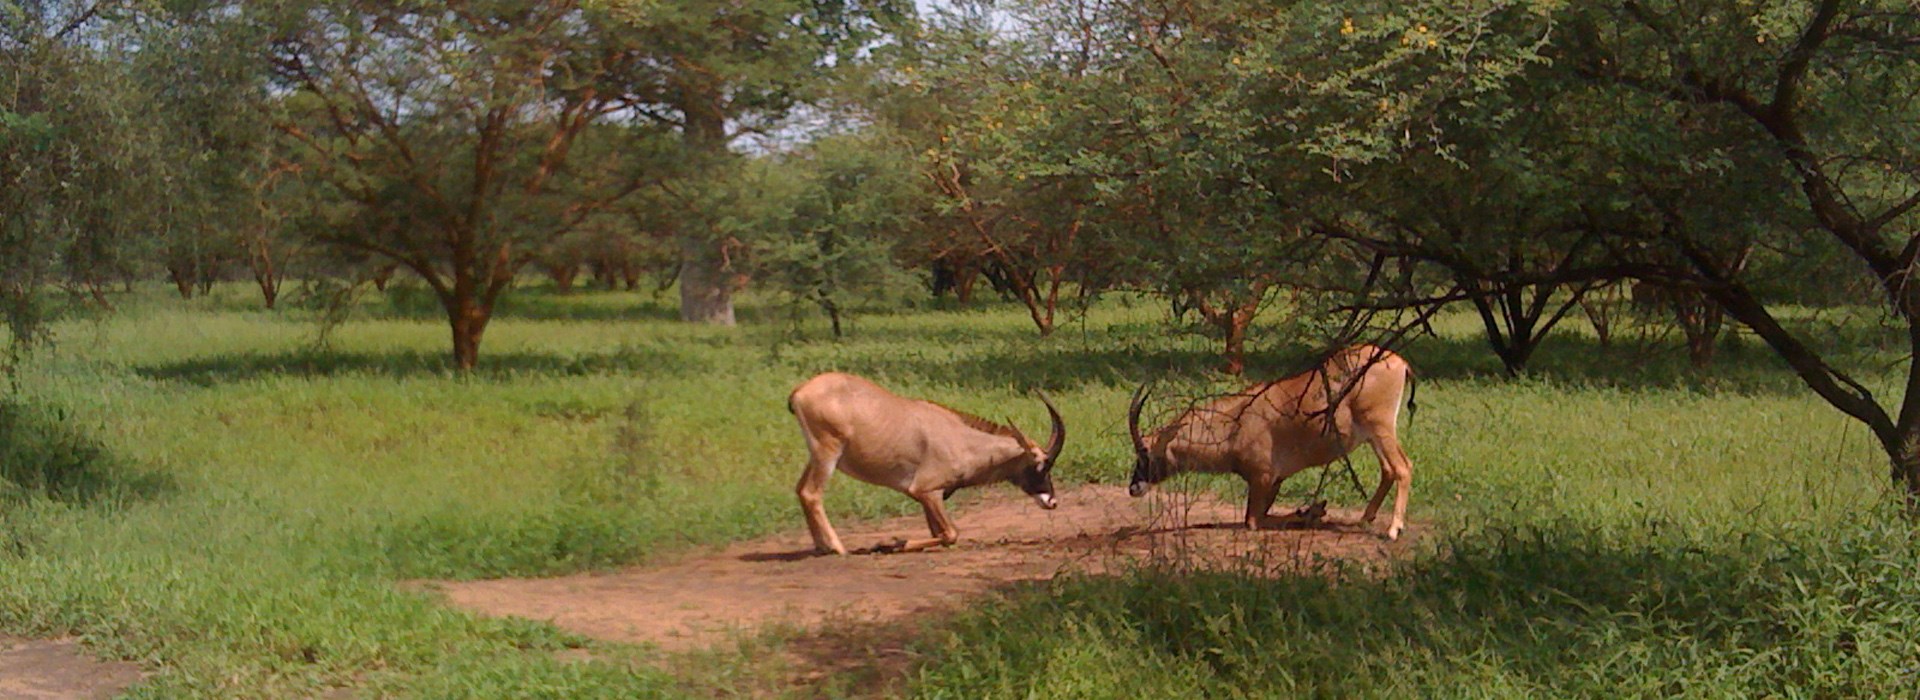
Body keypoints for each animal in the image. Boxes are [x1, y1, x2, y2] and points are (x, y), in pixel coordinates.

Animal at [791, 373, 1075, 552]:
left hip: (815, 455)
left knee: (801, 489)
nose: (1052, 501)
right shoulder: (928, 491)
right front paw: (889, 544)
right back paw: (838, 548)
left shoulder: (925, 498)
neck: (961, 439)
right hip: (827, 453)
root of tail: (798, 393)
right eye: (1040, 465)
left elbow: (938, 534)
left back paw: (822, 546)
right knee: (811, 492)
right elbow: (950, 534)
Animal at [1121, 345, 1420, 540]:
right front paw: (1312, 510)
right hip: (1373, 434)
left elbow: (1254, 520)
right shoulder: (1275, 481)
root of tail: (1399, 362)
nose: (1134, 487)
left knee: (1402, 467)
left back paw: (1394, 529)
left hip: (1380, 426)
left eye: (1145, 451)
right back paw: (1365, 518)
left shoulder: (1262, 479)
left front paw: (1311, 512)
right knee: (1388, 469)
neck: (1235, 423)